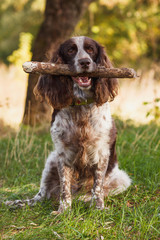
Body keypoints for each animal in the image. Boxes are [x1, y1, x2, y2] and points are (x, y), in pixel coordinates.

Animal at [5, 35, 131, 212]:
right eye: (71, 50)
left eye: (90, 49)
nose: (85, 62)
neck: (81, 105)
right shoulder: (62, 154)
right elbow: (64, 185)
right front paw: (63, 210)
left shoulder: (101, 152)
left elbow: (98, 186)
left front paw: (98, 207)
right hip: (51, 161)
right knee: (41, 196)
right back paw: (19, 203)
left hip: (122, 178)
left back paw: (85, 199)